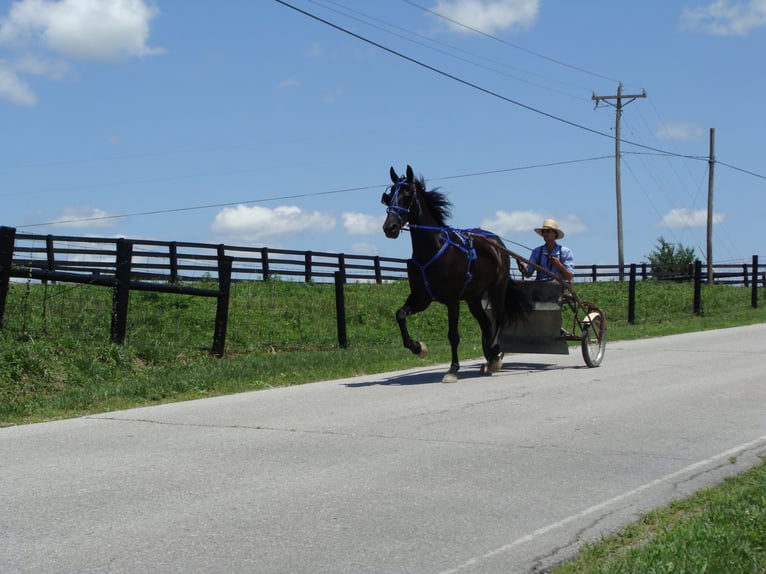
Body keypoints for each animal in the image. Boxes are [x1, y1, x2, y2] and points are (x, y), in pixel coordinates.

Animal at [382, 165, 532, 382]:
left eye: (407, 195)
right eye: (389, 196)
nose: (390, 227)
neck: (433, 249)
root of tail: (496, 242)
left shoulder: (452, 300)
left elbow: (453, 335)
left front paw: (452, 369)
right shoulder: (421, 298)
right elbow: (400, 315)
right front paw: (418, 347)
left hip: (497, 289)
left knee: (499, 319)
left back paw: (495, 353)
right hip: (473, 298)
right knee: (485, 324)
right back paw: (489, 358)